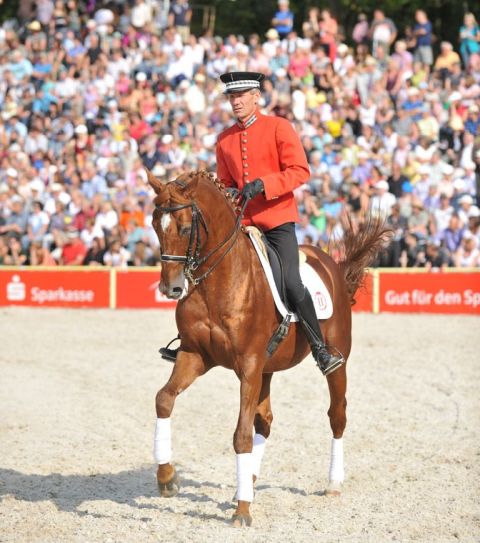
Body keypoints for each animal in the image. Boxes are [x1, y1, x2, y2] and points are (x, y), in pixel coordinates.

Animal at [148, 170, 392, 528]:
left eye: (183, 227)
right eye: (155, 224)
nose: (171, 288)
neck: (217, 281)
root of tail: (332, 264)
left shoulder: (248, 366)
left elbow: (241, 435)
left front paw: (242, 512)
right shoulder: (195, 356)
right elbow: (164, 399)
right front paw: (167, 478)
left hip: (335, 361)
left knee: (337, 415)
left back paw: (332, 482)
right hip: (267, 370)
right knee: (264, 421)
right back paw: (246, 483)